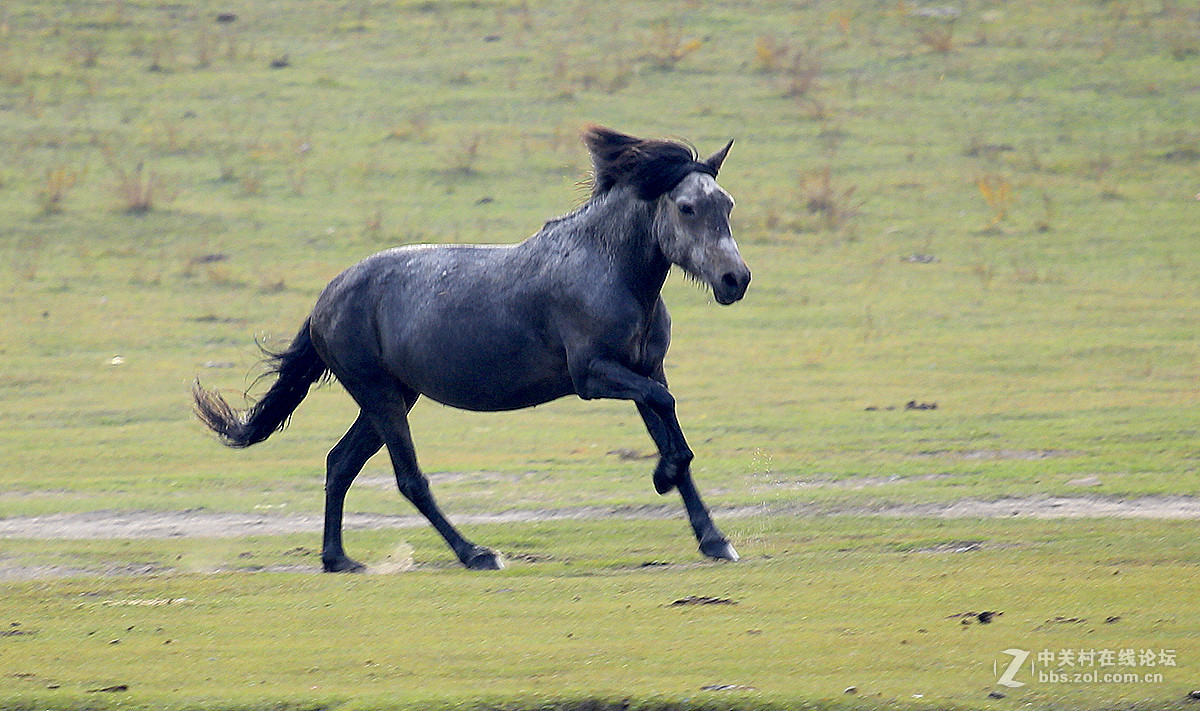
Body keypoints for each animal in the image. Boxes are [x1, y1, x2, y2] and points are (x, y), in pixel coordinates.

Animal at [195, 126, 748, 571]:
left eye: (727, 204)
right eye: (687, 207)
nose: (735, 279)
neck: (606, 268)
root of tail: (323, 302)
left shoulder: (647, 369)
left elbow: (671, 427)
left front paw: (714, 539)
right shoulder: (593, 374)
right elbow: (668, 421)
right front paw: (662, 476)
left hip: (392, 397)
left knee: (340, 463)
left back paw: (339, 559)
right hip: (380, 395)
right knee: (407, 478)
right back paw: (476, 553)